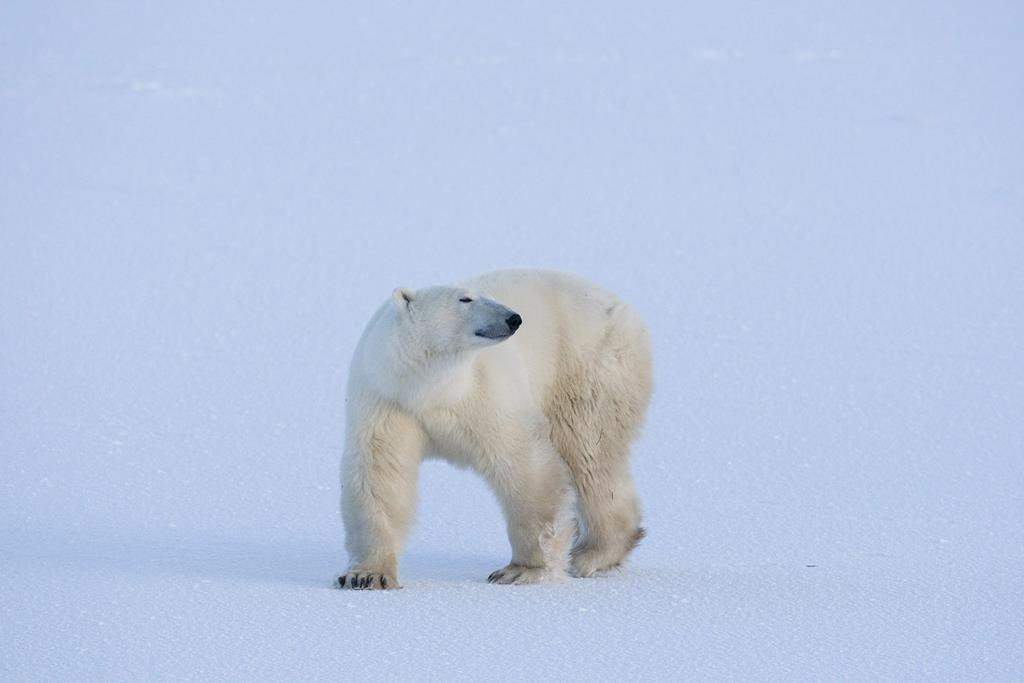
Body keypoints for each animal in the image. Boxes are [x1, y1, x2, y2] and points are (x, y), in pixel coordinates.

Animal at [337, 269, 652, 589]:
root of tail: (618, 304)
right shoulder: (388, 399)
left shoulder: (484, 395)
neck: (430, 389)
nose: (514, 318)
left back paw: (593, 554)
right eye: (465, 299)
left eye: (487, 296)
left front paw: (521, 570)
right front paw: (367, 574)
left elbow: (525, 467)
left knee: (588, 453)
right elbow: (380, 477)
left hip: (587, 366)